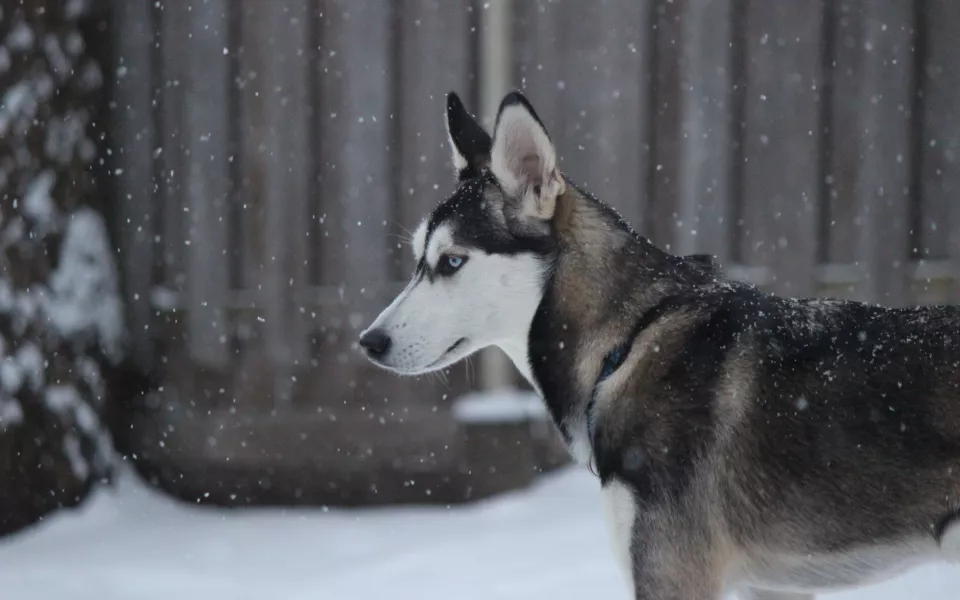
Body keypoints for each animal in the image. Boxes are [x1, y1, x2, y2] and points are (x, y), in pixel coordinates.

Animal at [358, 90, 960, 600]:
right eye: (418, 261)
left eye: (452, 262)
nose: (369, 342)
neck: (622, 345)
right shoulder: (774, 588)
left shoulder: (672, 572)